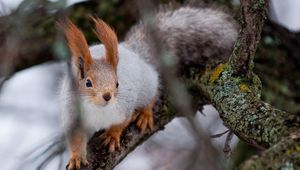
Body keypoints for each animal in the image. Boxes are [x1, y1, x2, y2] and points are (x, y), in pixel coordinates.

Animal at [59, 5, 238, 170]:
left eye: (117, 83)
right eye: (88, 83)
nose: (107, 96)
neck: (97, 109)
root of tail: (134, 52)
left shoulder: (124, 106)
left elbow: (121, 123)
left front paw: (112, 135)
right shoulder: (73, 115)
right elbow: (75, 139)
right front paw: (76, 157)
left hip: (147, 85)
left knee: (152, 94)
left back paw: (145, 114)